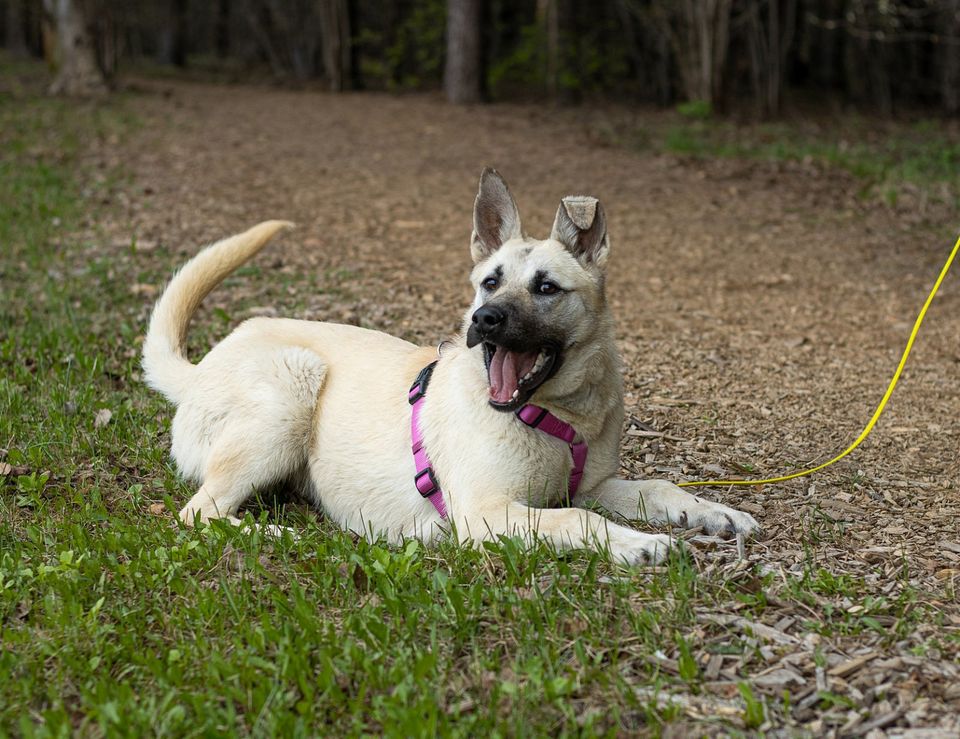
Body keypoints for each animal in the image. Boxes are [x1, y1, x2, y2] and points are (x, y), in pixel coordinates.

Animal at [142, 171, 760, 564]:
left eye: (546, 288)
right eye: (489, 281)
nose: (484, 320)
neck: (555, 416)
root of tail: (199, 370)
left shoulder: (593, 486)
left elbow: (660, 486)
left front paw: (713, 512)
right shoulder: (489, 512)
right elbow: (577, 522)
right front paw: (638, 543)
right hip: (291, 388)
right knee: (199, 513)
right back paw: (281, 535)